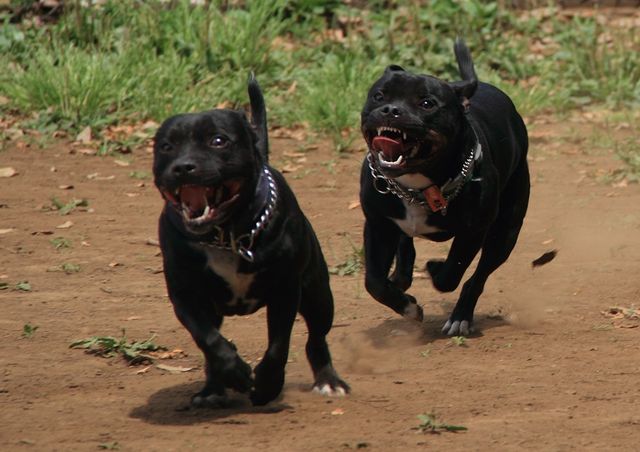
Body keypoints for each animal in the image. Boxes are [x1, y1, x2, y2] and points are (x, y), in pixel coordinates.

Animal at [153, 76, 349, 406]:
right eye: (166, 147)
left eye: (218, 140)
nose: (182, 166)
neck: (226, 235)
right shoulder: (186, 297)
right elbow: (208, 340)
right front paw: (233, 372)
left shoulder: (286, 289)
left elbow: (278, 345)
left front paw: (268, 385)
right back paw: (213, 389)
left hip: (318, 295)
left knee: (316, 337)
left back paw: (328, 381)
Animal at [359, 39, 530, 336]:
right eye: (379, 96)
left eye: (427, 103)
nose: (391, 110)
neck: (416, 186)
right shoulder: (378, 225)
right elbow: (374, 282)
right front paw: (407, 306)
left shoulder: (473, 232)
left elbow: (451, 274)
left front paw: (435, 269)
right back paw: (401, 278)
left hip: (505, 234)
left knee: (477, 278)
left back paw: (461, 316)